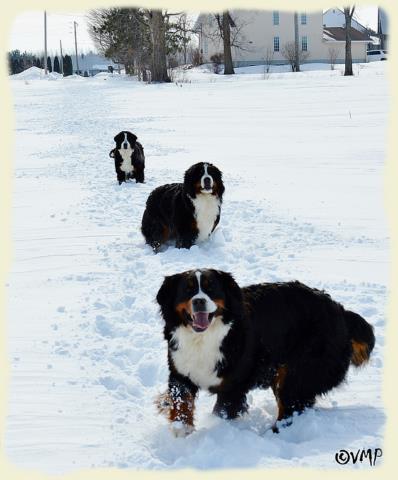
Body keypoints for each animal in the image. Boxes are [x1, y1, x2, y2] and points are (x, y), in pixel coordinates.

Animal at [156, 268, 376, 436]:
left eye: (211, 289)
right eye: (187, 290)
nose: (199, 301)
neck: (203, 338)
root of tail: (342, 312)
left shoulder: (233, 386)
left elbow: (222, 411)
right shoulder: (180, 371)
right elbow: (181, 401)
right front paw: (181, 430)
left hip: (298, 371)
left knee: (291, 407)